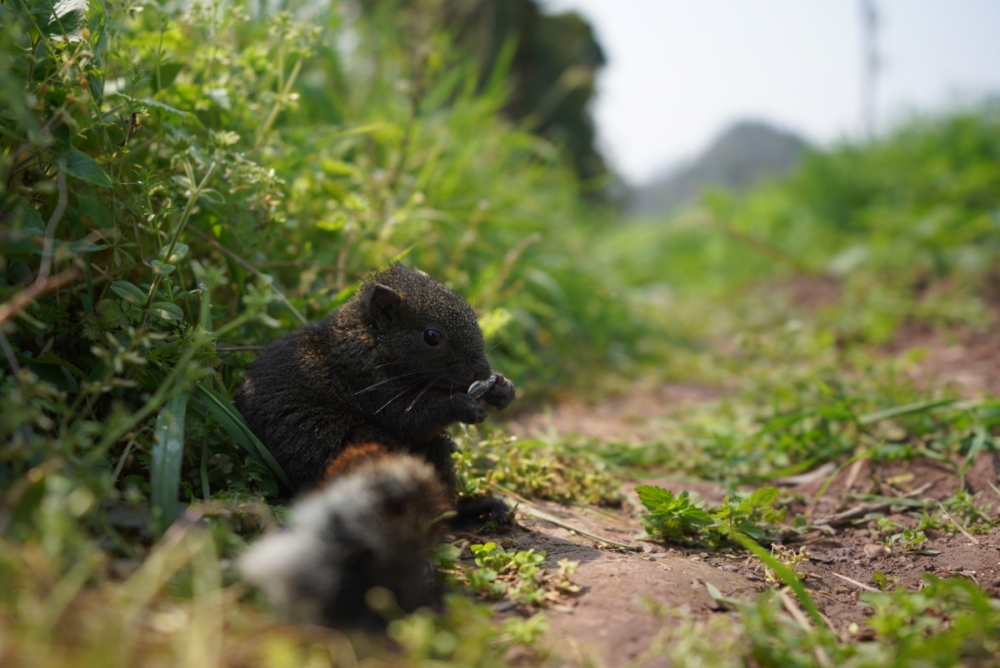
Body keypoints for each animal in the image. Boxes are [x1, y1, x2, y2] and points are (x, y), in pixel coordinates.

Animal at [235, 264, 516, 628]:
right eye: (432, 336)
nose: (482, 370)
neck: (371, 341)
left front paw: (501, 389)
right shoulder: (368, 381)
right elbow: (411, 419)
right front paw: (465, 406)